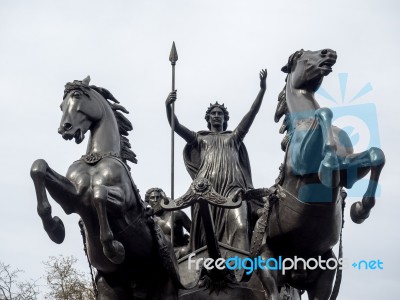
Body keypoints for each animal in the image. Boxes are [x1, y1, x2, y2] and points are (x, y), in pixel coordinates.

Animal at [253, 49, 384, 300]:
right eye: (300, 55)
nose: (329, 53)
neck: (303, 121)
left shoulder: (348, 173)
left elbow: (375, 155)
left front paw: (360, 210)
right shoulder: (304, 164)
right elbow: (325, 113)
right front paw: (327, 161)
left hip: (325, 274)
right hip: (267, 263)